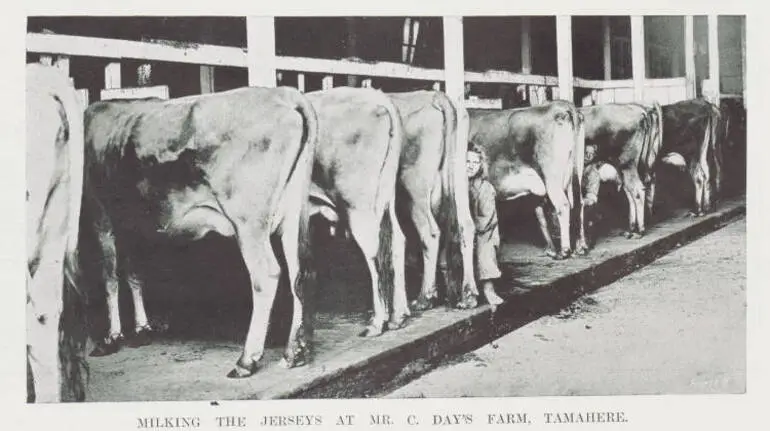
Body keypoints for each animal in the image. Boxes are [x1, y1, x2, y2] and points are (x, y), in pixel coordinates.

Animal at [85, 87, 320, 378]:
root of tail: (285, 94)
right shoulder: (133, 225)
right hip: (292, 214)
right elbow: (134, 274)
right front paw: (141, 330)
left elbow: (109, 278)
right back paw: (295, 352)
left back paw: (247, 360)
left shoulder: (101, 216)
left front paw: (112, 338)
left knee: (266, 274)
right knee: (300, 272)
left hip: (248, 222)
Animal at [306, 88, 412, 338]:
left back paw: (378, 322)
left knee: (373, 250)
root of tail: (378, 98)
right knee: (397, 240)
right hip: (385, 197)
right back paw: (398, 316)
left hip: (358, 203)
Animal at [464, 102, 584, 260]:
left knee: (563, 205)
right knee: (579, 205)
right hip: (575, 173)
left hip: (552, 176)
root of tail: (562, 105)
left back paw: (565, 250)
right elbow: (541, 217)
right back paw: (578, 247)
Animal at [580, 102, 664, 240]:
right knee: (631, 192)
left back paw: (639, 231)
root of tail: (640, 109)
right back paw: (631, 228)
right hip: (625, 166)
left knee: (637, 191)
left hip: (627, 163)